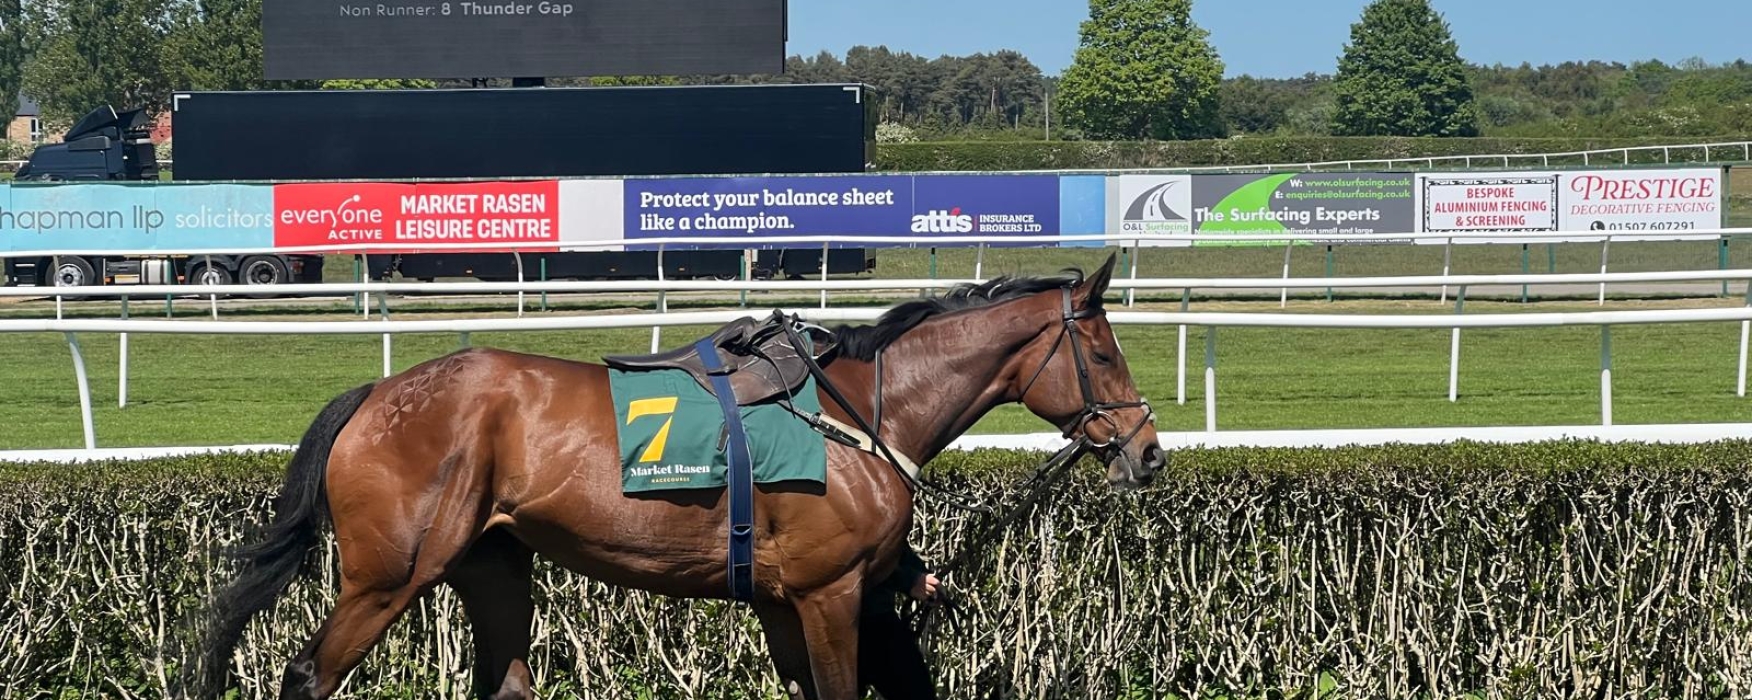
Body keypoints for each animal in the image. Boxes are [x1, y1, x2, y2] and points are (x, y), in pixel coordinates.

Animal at [180, 251, 1163, 700]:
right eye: (1104, 351)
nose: (1149, 450)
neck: (856, 413)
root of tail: (379, 392)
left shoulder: (787, 601)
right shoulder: (831, 591)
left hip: (493, 563)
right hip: (389, 575)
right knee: (307, 675)